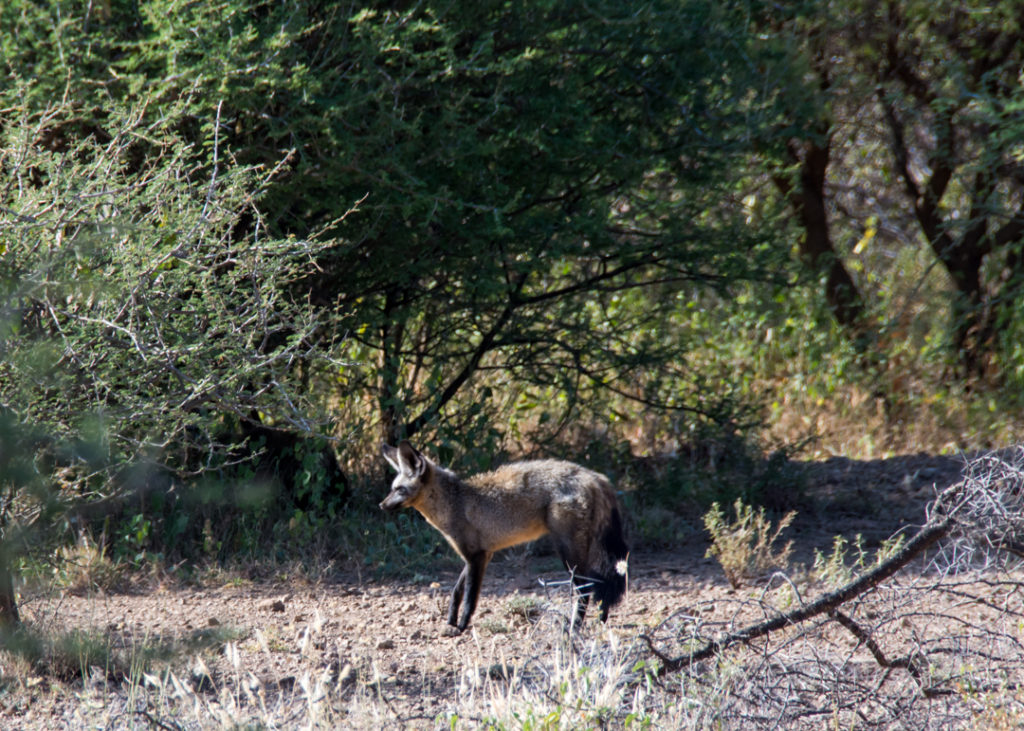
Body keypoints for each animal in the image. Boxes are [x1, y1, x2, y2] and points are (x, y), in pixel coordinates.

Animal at [380, 438, 626, 630]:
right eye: (392, 489)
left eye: (400, 490)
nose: (382, 505)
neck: (455, 503)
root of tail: (594, 476)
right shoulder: (479, 555)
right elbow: (456, 592)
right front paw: (450, 621)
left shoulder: (476, 557)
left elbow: (470, 599)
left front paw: (461, 626)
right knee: (599, 584)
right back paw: (600, 621)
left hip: (568, 553)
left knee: (586, 589)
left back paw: (575, 627)